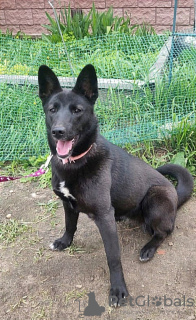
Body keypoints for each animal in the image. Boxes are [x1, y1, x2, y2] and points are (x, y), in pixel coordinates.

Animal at [38, 63, 193, 304]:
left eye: (77, 110)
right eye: (52, 109)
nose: (58, 132)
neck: (76, 161)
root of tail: (176, 196)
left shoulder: (104, 217)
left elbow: (113, 257)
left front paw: (118, 288)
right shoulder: (67, 204)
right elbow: (70, 225)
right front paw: (64, 242)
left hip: (155, 198)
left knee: (165, 231)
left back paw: (148, 248)